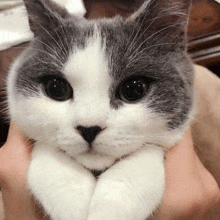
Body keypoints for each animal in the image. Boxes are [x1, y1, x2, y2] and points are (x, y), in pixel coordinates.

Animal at [6, 0, 194, 220]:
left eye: (134, 89)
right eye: (56, 88)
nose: (89, 128)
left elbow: (149, 149)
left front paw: (115, 204)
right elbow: (47, 148)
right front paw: (69, 196)